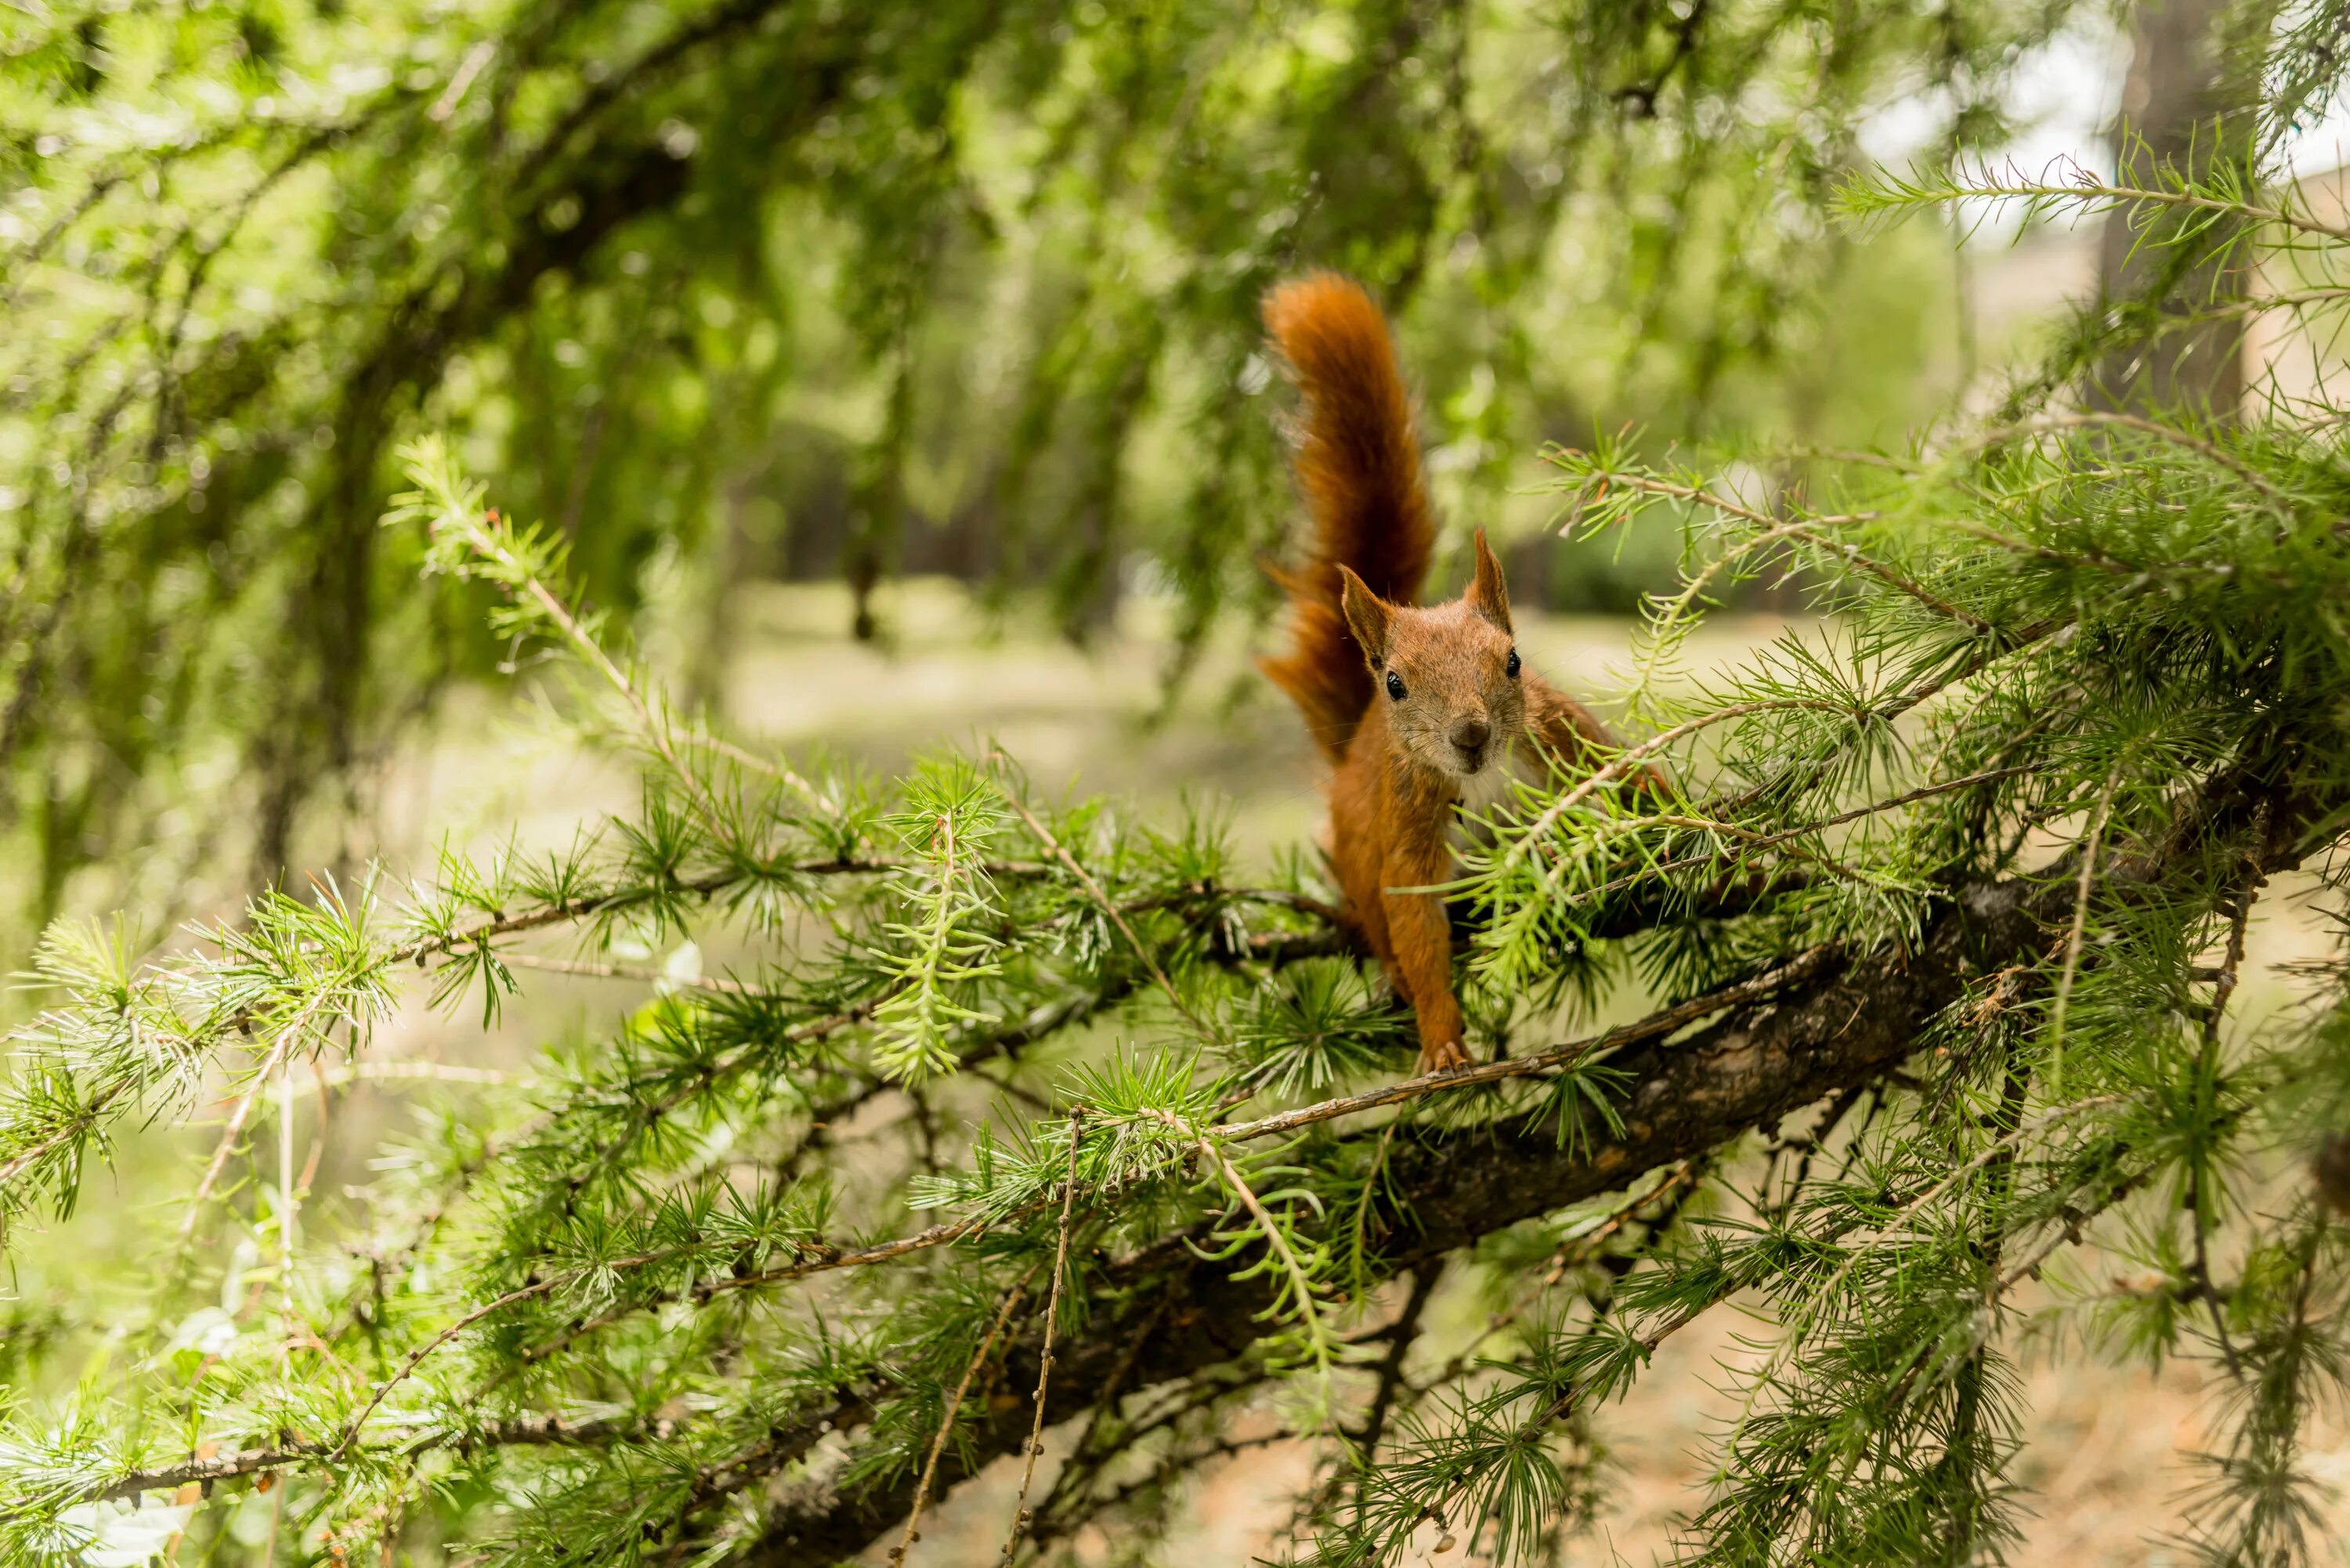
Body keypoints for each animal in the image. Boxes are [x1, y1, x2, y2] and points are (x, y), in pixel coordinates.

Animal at [1260, 273, 1645, 1081]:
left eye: (1514, 660)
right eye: (1396, 684)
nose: (1470, 734)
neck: (1483, 777)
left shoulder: (1565, 733)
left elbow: (1636, 779)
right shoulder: (1409, 817)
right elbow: (1413, 914)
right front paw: (1441, 1037)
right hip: (1352, 842)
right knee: (1378, 920)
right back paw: (1396, 984)